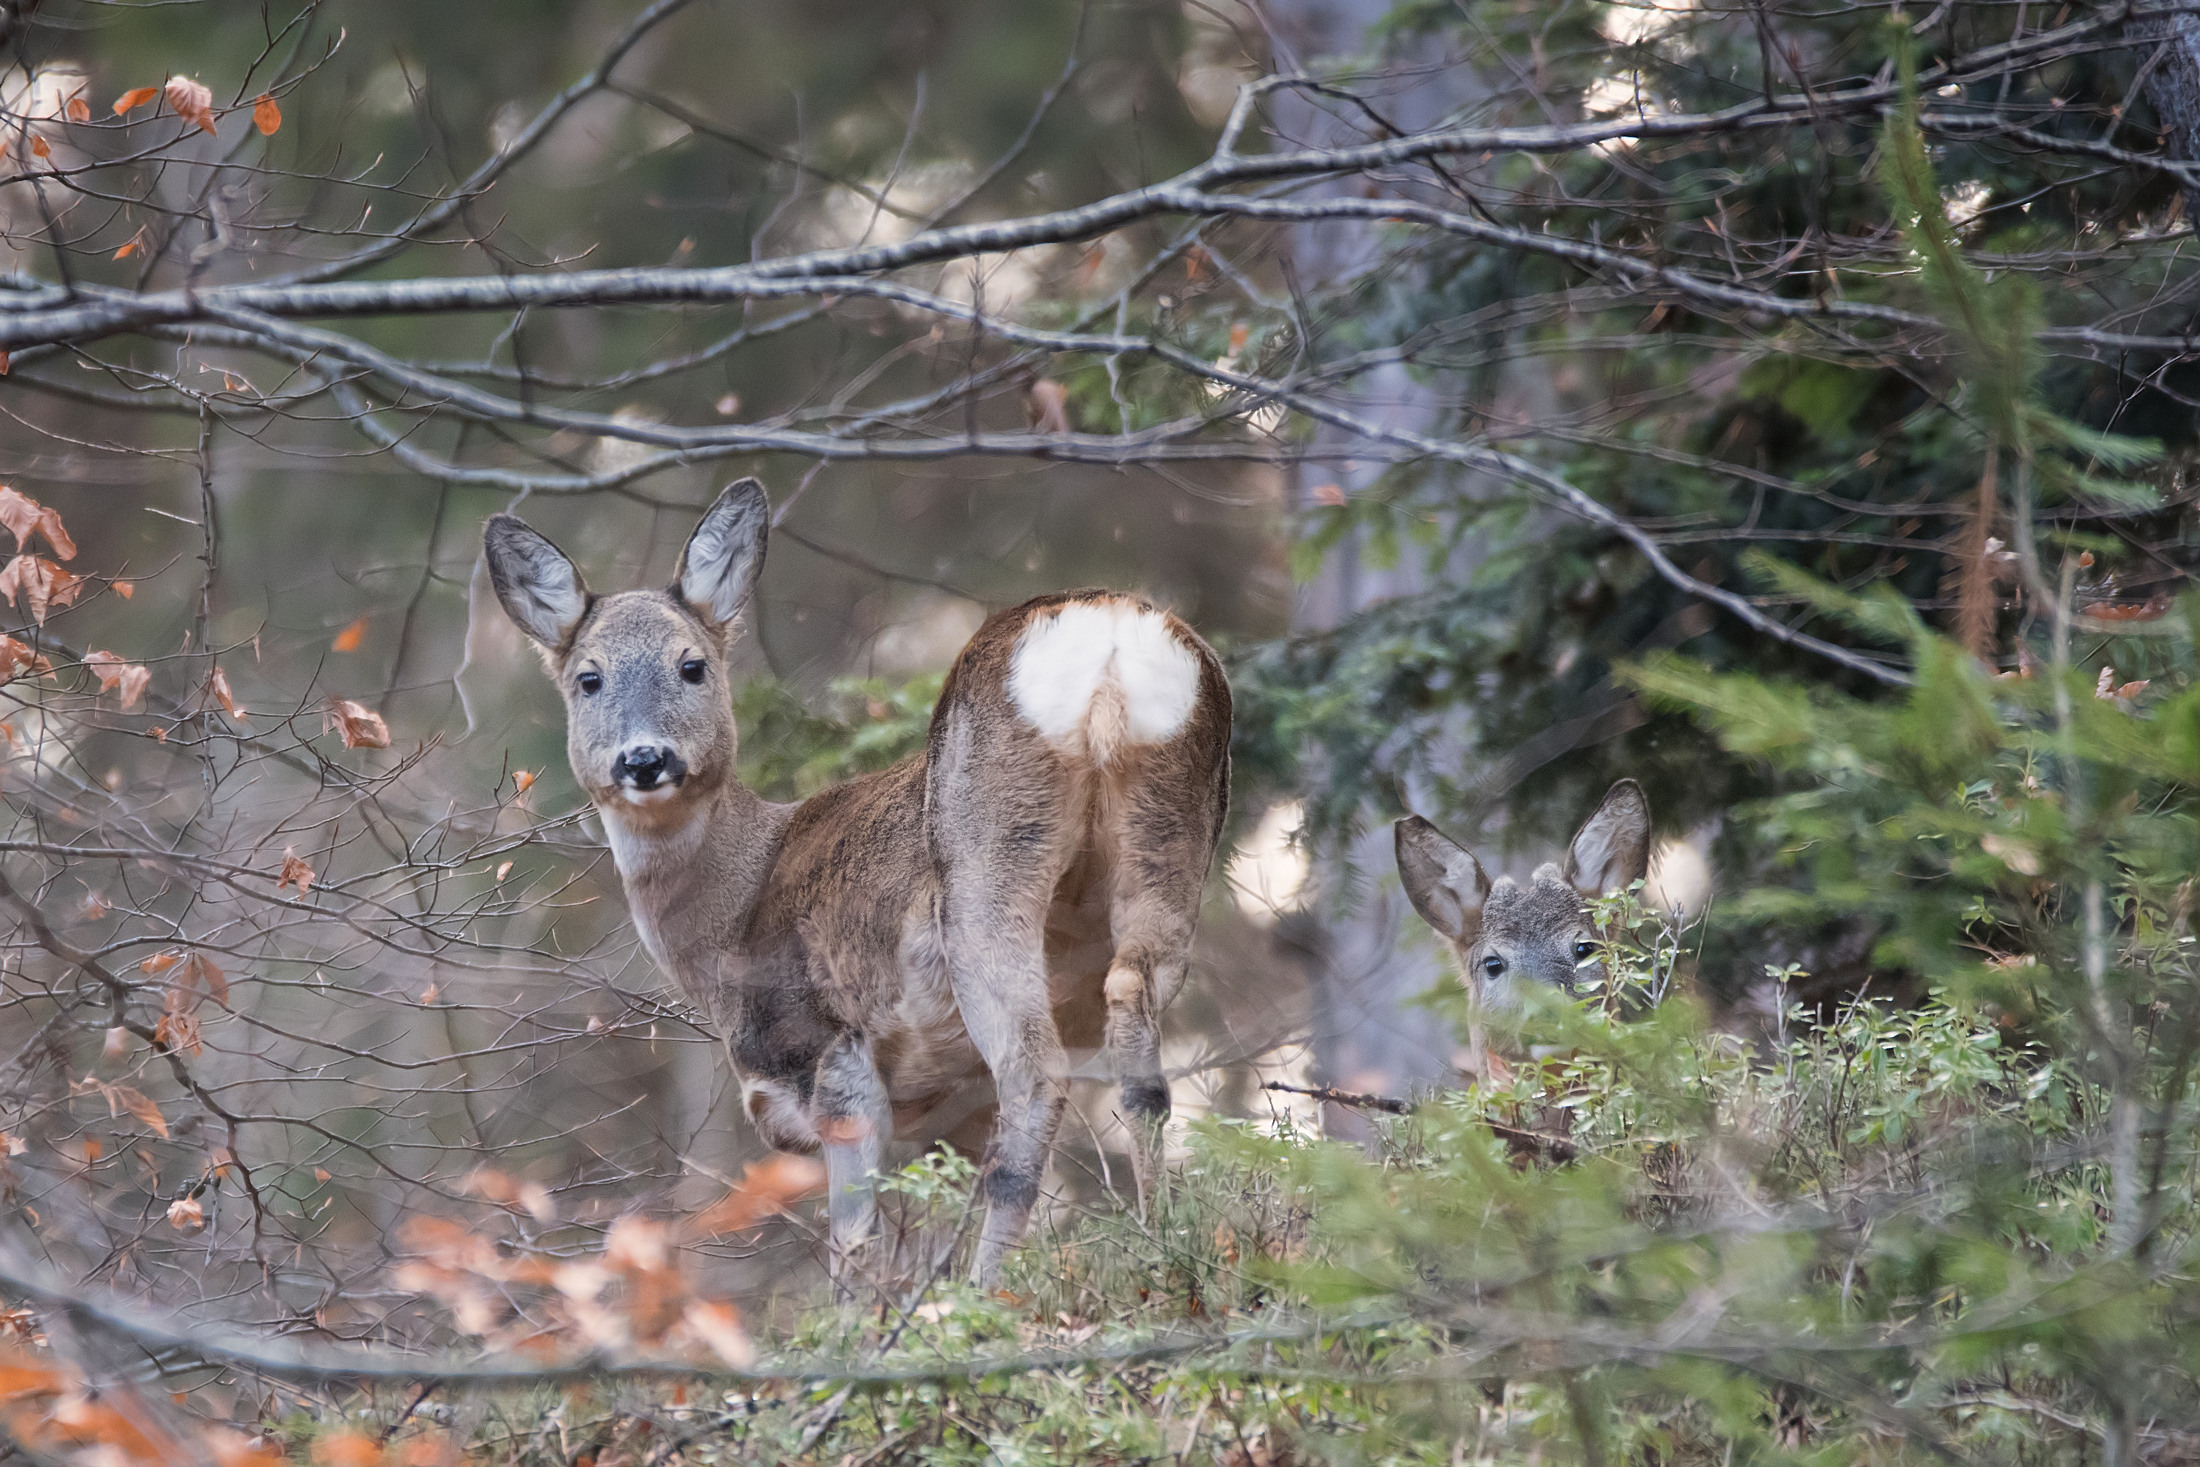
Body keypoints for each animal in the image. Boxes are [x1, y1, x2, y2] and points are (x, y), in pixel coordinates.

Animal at [482, 480, 1232, 1282]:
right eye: (588, 678)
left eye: (693, 665)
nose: (645, 759)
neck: (734, 914)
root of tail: (1108, 634)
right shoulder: (948, 1106)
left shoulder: (831, 1051)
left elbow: (855, 1238)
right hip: (1172, 829)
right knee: (1132, 1014)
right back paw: (1165, 1241)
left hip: (989, 859)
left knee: (1035, 1071)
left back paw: (986, 1289)